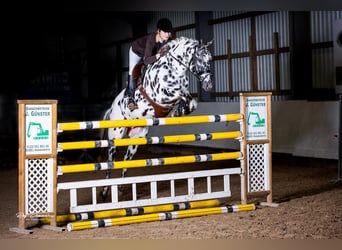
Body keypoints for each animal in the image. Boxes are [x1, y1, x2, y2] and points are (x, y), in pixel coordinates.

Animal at [101, 35, 214, 198]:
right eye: (199, 59)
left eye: (210, 59)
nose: (208, 86)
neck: (175, 69)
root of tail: (112, 108)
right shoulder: (162, 95)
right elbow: (181, 94)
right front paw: (179, 110)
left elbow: (190, 100)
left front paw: (179, 111)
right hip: (115, 136)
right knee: (110, 161)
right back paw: (104, 191)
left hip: (136, 138)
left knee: (126, 161)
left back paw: (121, 187)